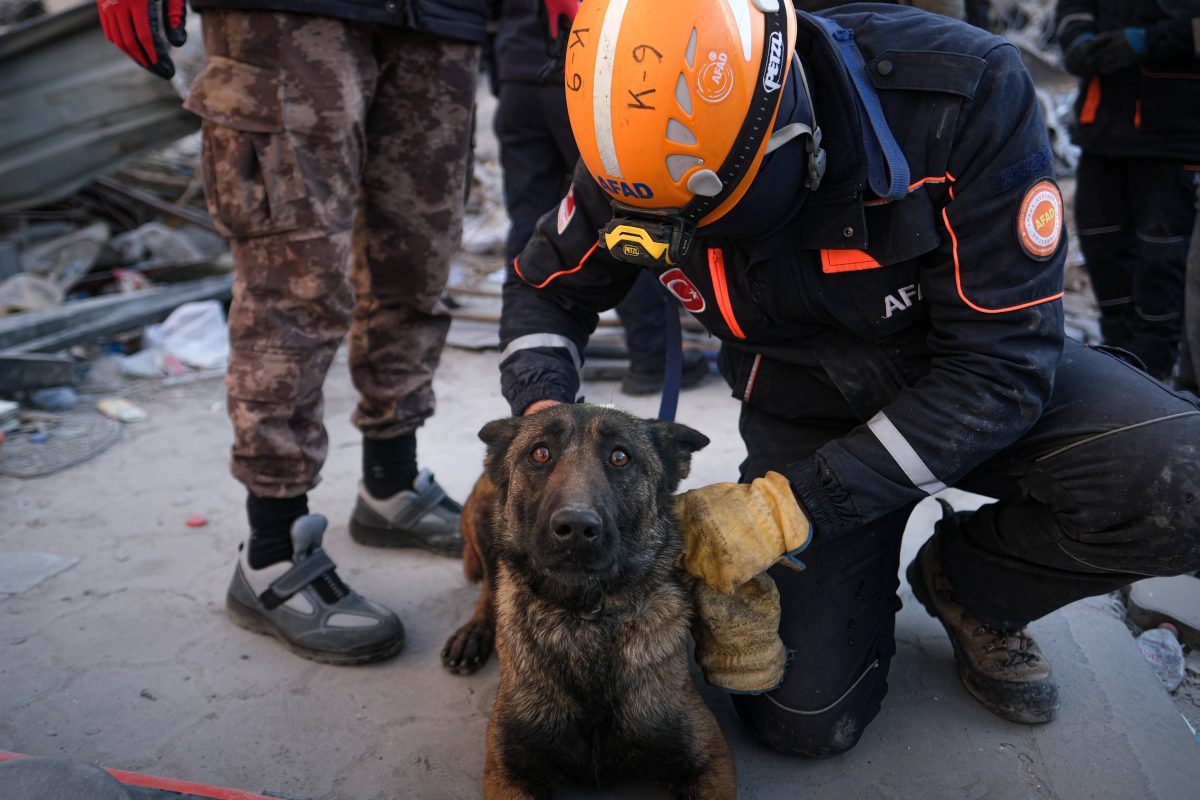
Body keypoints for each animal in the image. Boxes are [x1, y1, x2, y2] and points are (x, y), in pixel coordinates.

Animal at [441, 407, 734, 800]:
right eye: (540, 453)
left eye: (620, 457)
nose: (576, 529)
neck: (583, 618)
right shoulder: (508, 772)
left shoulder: (710, 761)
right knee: (490, 584)